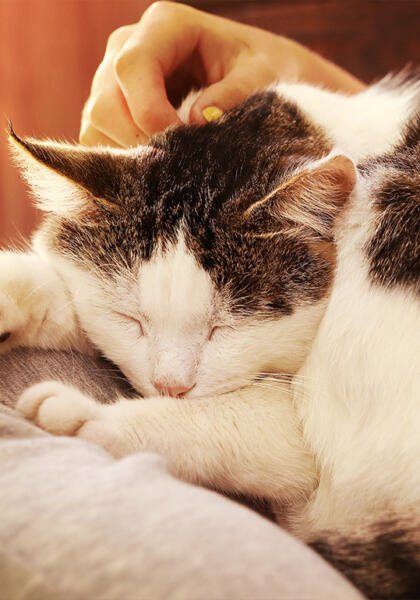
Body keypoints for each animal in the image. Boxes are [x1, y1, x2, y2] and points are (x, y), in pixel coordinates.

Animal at [4, 71, 420, 600]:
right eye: (131, 320)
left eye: (224, 327)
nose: (170, 386)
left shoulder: (310, 436)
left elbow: (228, 422)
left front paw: (88, 418)